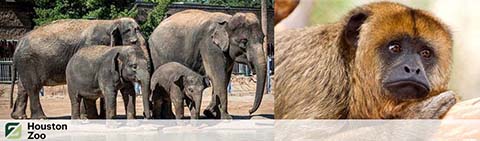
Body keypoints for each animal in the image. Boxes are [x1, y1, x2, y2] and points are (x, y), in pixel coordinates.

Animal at [9, 17, 148, 119]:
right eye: (134, 42)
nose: (145, 115)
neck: (112, 22)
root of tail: (18, 44)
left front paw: (100, 117)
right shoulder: (93, 45)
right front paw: (87, 118)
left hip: (24, 63)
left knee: (23, 86)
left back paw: (19, 117)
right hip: (28, 62)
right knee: (33, 87)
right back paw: (41, 118)